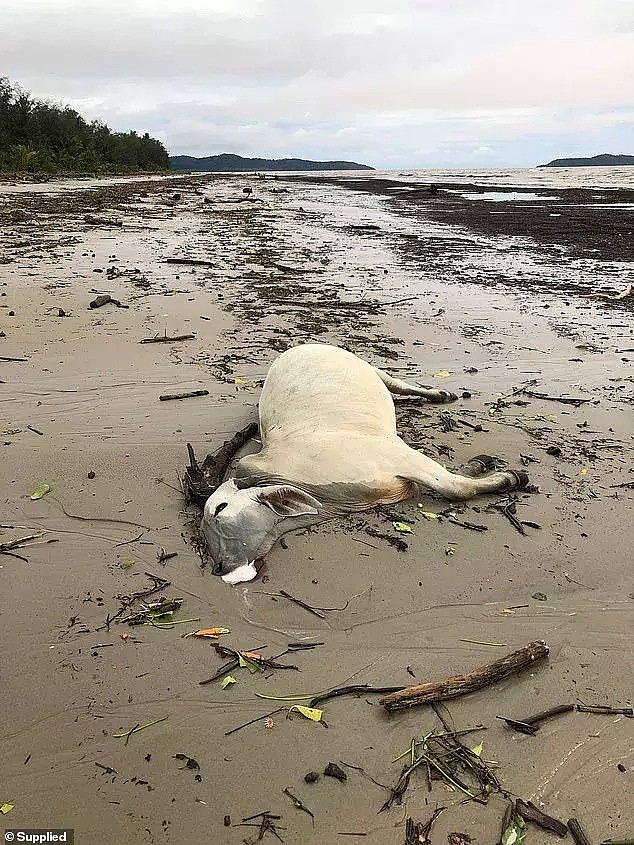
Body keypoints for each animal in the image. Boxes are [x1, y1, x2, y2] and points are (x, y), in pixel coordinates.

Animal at [201, 342, 524, 580]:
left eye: (219, 508)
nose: (219, 568)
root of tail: (298, 347)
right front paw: (480, 465)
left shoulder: (398, 454)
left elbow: (454, 487)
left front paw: (511, 477)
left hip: (369, 366)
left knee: (400, 384)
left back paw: (439, 394)